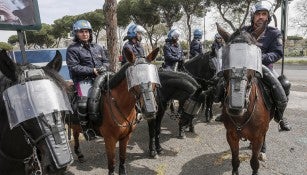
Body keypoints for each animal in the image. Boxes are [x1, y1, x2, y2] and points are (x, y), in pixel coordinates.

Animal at [218, 26, 276, 175]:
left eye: (251, 58)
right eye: (227, 58)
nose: (235, 107)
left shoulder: (258, 137)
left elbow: (254, 163)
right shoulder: (231, 136)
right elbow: (235, 160)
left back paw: (262, 151)